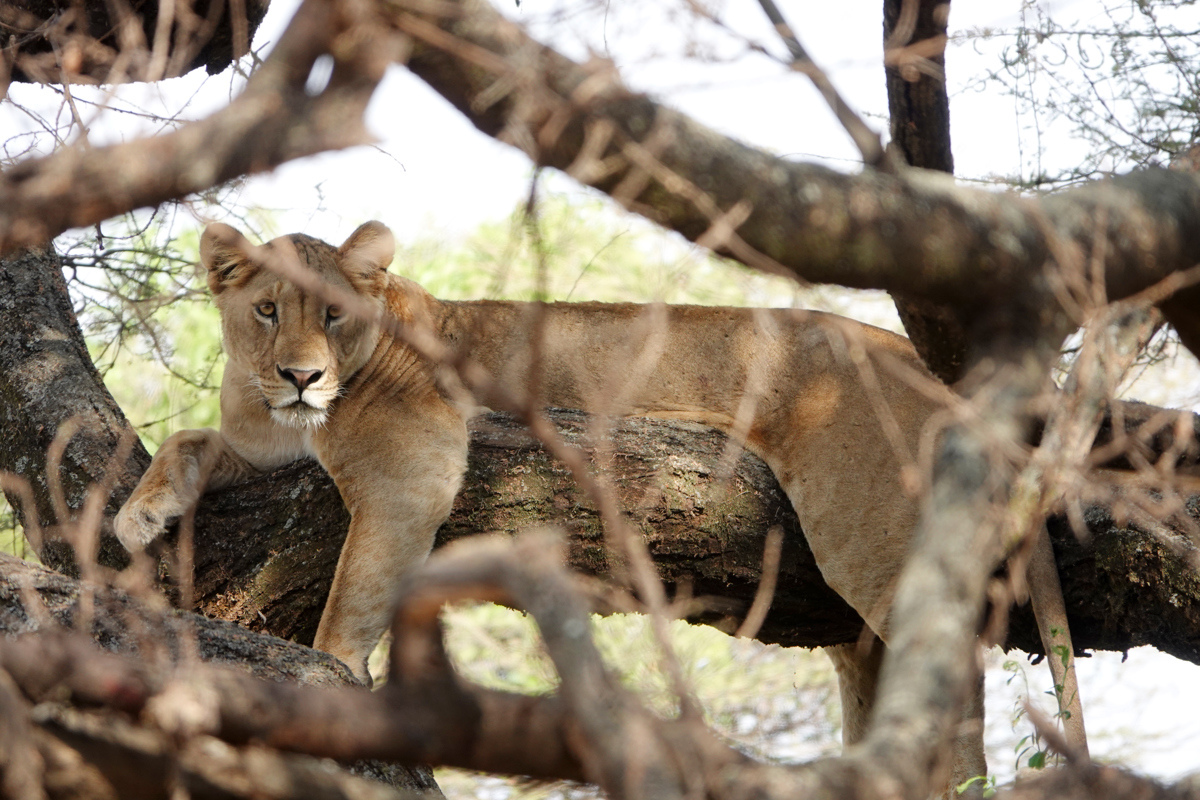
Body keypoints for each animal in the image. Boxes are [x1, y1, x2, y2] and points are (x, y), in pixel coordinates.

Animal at [115, 220, 1082, 790]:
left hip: (870, 528)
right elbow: (190, 439)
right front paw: (140, 512)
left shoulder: (409, 469)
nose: (301, 375)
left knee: (948, 667)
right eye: (267, 310)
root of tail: (918, 358)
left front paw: (333, 687)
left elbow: (353, 595)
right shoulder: (262, 443)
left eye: (332, 315)